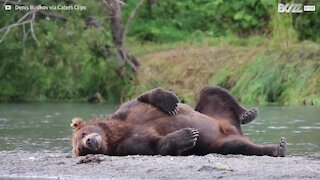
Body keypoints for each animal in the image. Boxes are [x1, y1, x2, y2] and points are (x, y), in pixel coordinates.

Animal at [70, 86, 288, 157]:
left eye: (82, 133)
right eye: (80, 149)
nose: (89, 141)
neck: (115, 132)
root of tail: (233, 129)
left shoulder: (127, 113)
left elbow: (143, 97)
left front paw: (168, 100)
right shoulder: (127, 144)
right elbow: (156, 145)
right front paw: (186, 135)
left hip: (216, 113)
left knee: (212, 91)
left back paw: (247, 113)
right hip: (220, 142)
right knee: (236, 146)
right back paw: (277, 147)